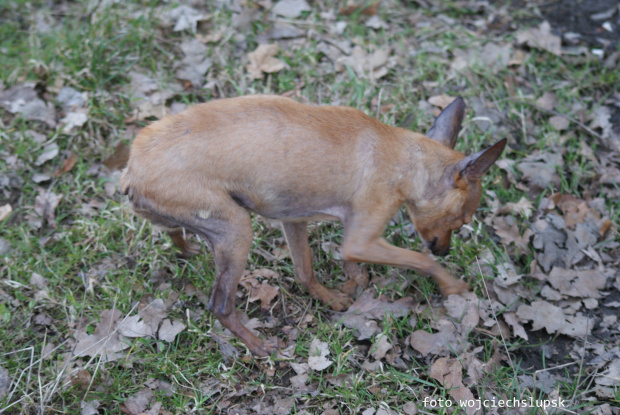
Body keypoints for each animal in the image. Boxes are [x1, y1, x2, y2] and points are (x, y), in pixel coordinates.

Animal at [120, 95, 504, 358]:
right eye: (462, 221)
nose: (447, 250)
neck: (406, 159)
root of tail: (131, 172)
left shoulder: (296, 220)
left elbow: (307, 270)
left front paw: (336, 293)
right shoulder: (361, 241)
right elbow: (420, 260)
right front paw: (453, 285)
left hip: (210, 224)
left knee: (172, 230)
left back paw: (188, 248)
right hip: (237, 230)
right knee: (221, 307)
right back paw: (260, 347)